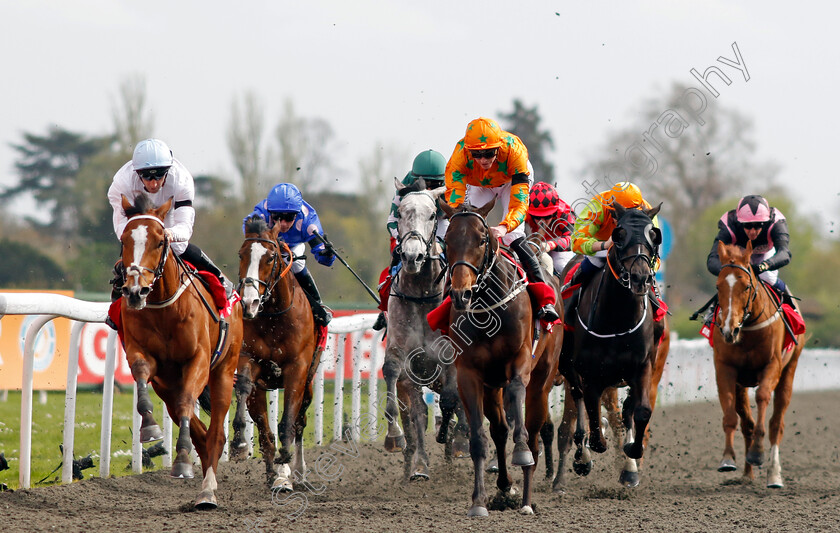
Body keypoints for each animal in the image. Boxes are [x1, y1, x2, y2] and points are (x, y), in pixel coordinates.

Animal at [115, 193, 240, 510]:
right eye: (124, 240)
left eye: (160, 241)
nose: (135, 291)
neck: (164, 309)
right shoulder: (142, 355)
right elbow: (141, 373)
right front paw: (149, 427)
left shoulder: (198, 361)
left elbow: (189, 404)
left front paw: (182, 461)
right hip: (167, 387)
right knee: (200, 432)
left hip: (223, 372)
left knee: (215, 434)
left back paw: (207, 492)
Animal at [233, 216, 324, 490]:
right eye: (241, 254)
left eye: (271, 257)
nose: (249, 302)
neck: (274, 316)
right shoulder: (249, 359)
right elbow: (244, 386)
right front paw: (239, 442)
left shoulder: (297, 369)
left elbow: (288, 423)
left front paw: (286, 467)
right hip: (261, 392)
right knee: (264, 431)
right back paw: (272, 472)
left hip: (309, 384)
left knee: (299, 422)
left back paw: (295, 472)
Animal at [436, 200, 560, 516]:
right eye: (447, 240)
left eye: (482, 240)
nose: (461, 295)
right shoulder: (469, 374)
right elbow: (479, 439)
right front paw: (478, 502)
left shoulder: (520, 360)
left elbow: (517, 392)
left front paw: (522, 452)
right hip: (492, 387)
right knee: (500, 430)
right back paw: (505, 487)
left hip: (542, 382)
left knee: (533, 433)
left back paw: (526, 500)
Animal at [712, 240, 804, 486]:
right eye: (718, 287)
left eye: (746, 287)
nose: (729, 330)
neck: (749, 328)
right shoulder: (725, 369)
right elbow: (730, 415)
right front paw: (728, 459)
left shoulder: (772, 366)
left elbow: (763, 398)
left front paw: (757, 452)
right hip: (742, 383)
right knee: (747, 422)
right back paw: (747, 474)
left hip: (790, 370)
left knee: (777, 424)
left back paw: (774, 475)